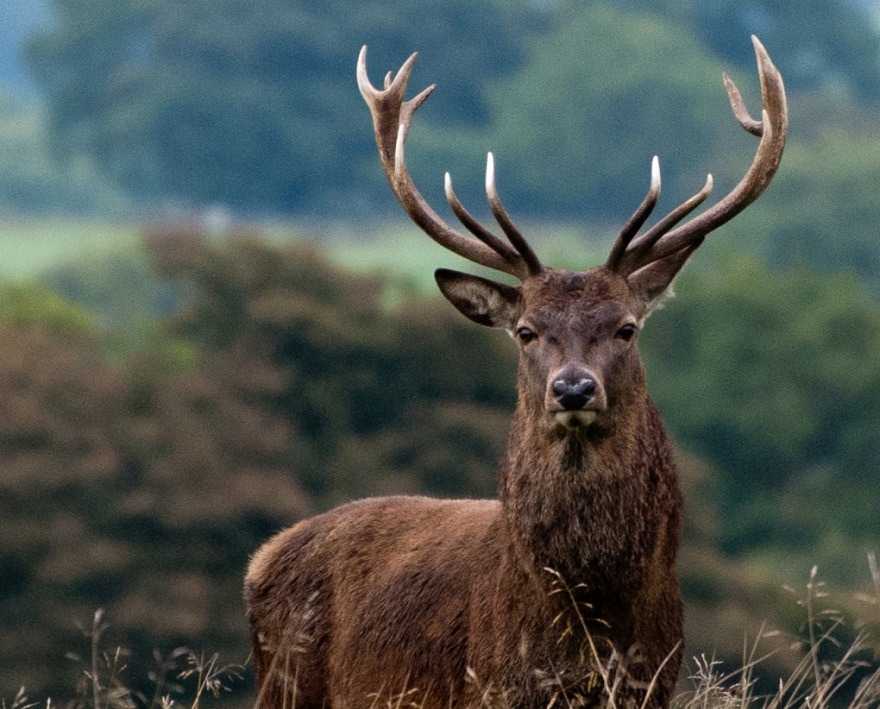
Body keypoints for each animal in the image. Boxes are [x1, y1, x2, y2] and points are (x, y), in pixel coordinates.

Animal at [245, 36, 787, 708]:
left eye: (626, 328)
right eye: (526, 331)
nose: (573, 387)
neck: (588, 624)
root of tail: (261, 560)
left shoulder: (654, 681)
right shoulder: (492, 687)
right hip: (285, 684)